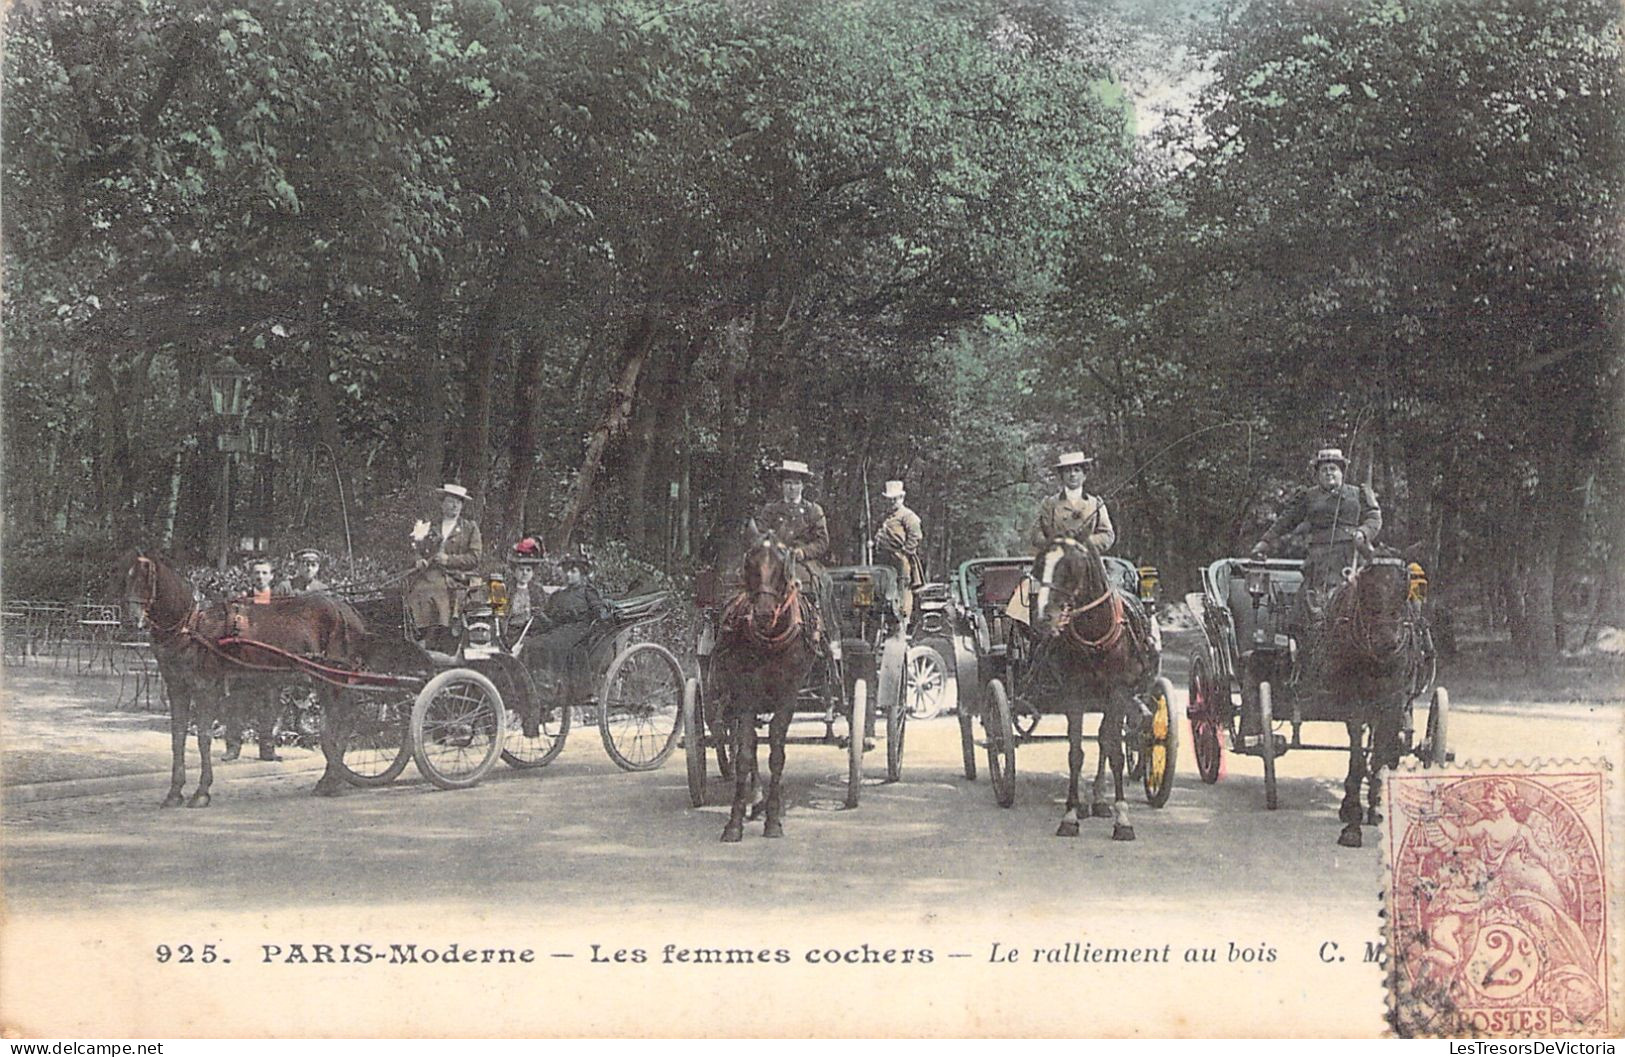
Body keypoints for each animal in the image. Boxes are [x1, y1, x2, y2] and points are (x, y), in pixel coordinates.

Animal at [121, 546, 373, 803]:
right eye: (127, 578)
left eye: (147, 578)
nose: (132, 620)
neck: (192, 626)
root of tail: (349, 611)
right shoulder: (178, 688)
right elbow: (178, 737)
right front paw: (174, 793)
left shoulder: (206, 688)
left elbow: (203, 738)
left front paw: (202, 792)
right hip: (323, 678)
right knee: (336, 723)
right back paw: (329, 780)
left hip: (334, 676)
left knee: (343, 721)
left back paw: (333, 780)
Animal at [708, 536, 819, 839]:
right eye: (750, 564)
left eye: (782, 567)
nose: (764, 613)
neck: (769, 640)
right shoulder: (745, 694)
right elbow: (745, 754)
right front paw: (734, 822)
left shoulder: (788, 696)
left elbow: (777, 753)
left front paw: (773, 819)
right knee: (743, 740)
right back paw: (755, 797)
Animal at [1033, 536, 1163, 839]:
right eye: (1039, 564)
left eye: (1071, 568)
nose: (1044, 616)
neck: (1094, 634)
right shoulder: (1073, 693)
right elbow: (1075, 751)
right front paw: (1071, 813)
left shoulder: (1118, 692)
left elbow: (1114, 750)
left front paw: (1122, 819)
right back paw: (1088, 801)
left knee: (1107, 739)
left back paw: (1101, 800)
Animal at [1319, 556, 1423, 845]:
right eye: (1366, 587)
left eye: (1403, 589)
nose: (1387, 641)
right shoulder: (1354, 701)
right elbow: (1356, 757)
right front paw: (1352, 822)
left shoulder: (1393, 700)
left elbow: (1380, 755)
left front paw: (1375, 807)